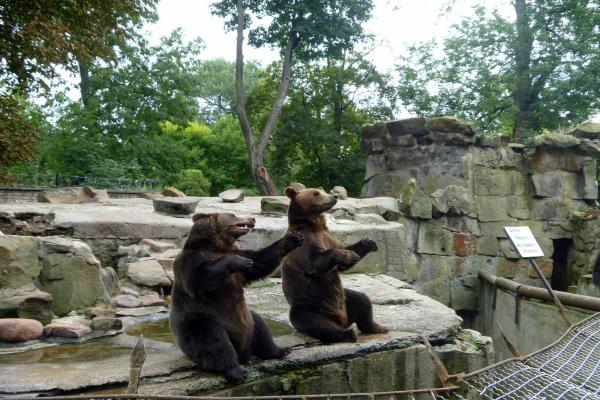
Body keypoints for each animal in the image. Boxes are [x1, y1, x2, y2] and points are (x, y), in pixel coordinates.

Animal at [169, 212, 302, 382]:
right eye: (232, 215)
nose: (252, 218)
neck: (218, 246)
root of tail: (243, 353)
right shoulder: (191, 262)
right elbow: (199, 280)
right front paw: (237, 262)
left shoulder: (240, 258)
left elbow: (260, 261)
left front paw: (293, 238)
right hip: (198, 322)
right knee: (212, 337)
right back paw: (235, 370)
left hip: (247, 319)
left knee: (259, 325)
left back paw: (279, 350)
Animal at [282, 186, 390, 342]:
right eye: (316, 193)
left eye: (322, 190)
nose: (333, 197)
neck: (314, 225)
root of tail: (341, 320)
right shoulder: (303, 243)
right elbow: (314, 262)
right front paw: (347, 255)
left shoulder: (329, 237)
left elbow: (344, 255)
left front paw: (368, 243)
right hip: (310, 305)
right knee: (316, 322)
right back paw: (348, 333)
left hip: (345, 299)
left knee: (362, 300)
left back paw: (378, 327)